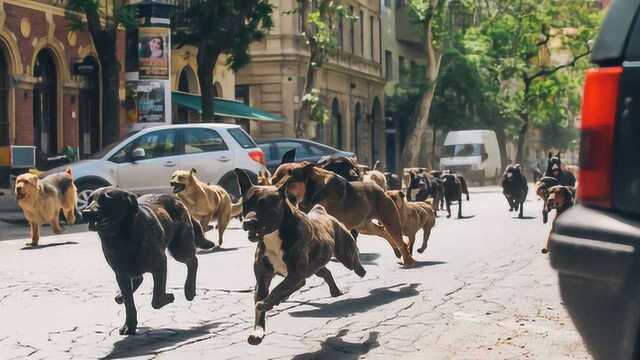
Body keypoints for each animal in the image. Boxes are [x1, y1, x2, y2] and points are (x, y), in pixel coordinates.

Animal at [80, 187, 212, 336]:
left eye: (106, 200)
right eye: (89, 200)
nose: (85, 212)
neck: (122, 237)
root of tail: (177, 199)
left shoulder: (160, 264)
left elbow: (156, 299)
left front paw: (169, 297)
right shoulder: (121, 274)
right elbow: (129, 304)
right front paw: (129, 325)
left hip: (180, 249)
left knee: (193, 261)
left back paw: (189, 290)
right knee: (139, 278)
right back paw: (120, 296)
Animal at [235, 169, 364, 346]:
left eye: (264, 205)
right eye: (246, 205)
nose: (248, 222)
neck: (275, 234)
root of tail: (321, 212)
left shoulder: (295, 274)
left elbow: (276, 290)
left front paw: (267, 303)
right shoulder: (263, 279)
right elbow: (262, 303)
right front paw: (258, 332)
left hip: (345, 255)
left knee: (353, 260)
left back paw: (360, 270)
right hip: (315, 266)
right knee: (324, 272)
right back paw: (334, 291)